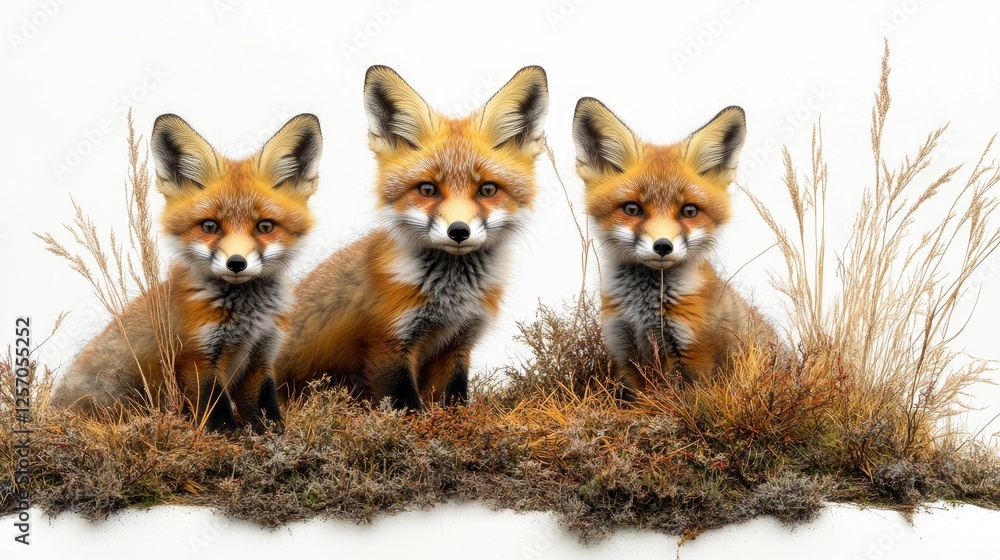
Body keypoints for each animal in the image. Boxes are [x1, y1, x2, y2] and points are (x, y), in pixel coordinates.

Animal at [51, 113, 323, 431]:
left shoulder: (260, 357)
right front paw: (225, 440)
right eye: (210, 226)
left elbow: (268, 416)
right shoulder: (197, 360)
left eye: (265, 226)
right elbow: (218, 418)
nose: (236, 263)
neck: (247, 319)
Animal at [276, 65, 549, 410]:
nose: (458, 231)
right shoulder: (389, 343)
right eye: (427, 189)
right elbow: (406, 408)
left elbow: (454, 402)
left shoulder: (458, 343)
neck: (451, 299)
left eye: (487, 189)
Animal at [572, 98, 776, 399]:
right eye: (632, 209)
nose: (663, 246)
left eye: (689, 211)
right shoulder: (625, 352)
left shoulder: (695, 354)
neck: (644, 311)